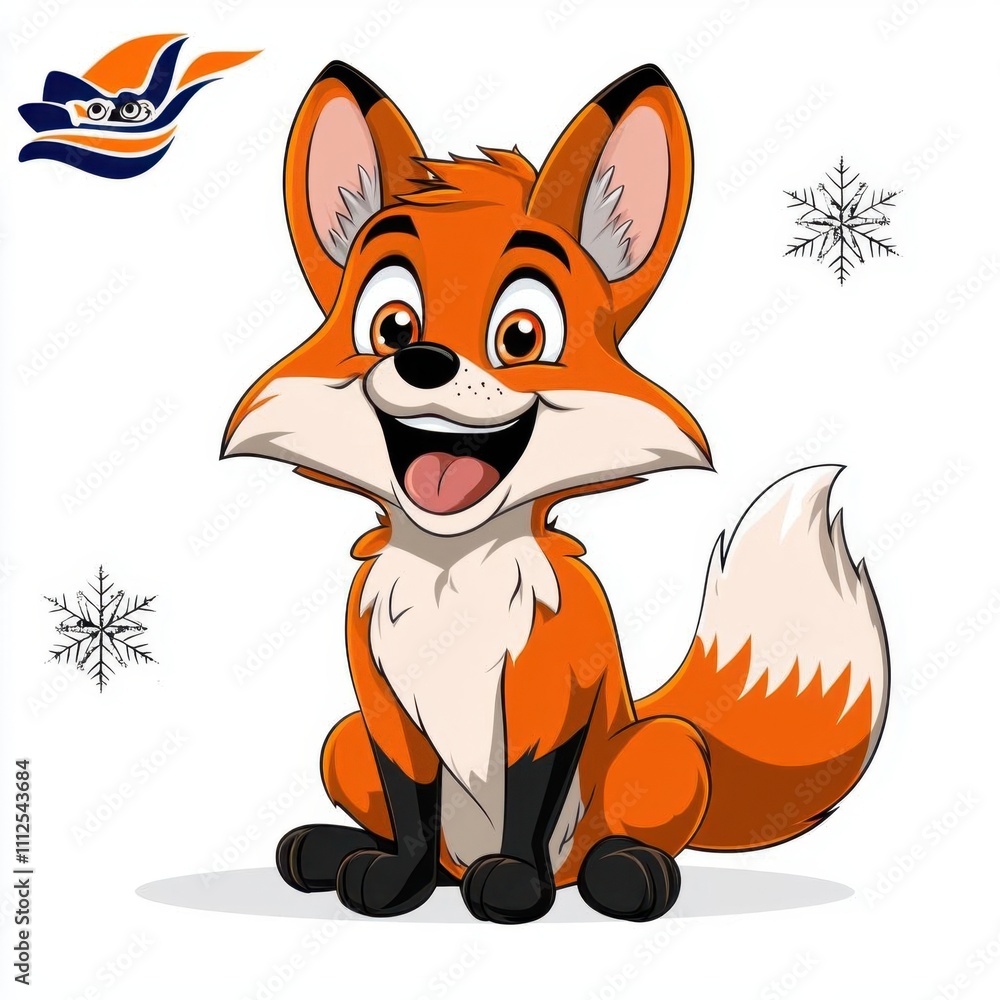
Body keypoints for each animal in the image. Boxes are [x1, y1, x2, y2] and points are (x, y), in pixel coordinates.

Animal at [222, 61, 889, 924]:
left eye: (522, 335)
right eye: (392, 325)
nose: (425, 360)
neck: (452, 576)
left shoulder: (551, 695)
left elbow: (527, 800)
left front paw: (512, 885)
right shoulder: (382, 708)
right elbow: (409, 808)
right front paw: (392, 882)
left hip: (662, 749)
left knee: (616, 841)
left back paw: (621, 871)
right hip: (342, 740)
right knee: (420, 841)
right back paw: (337, 851)